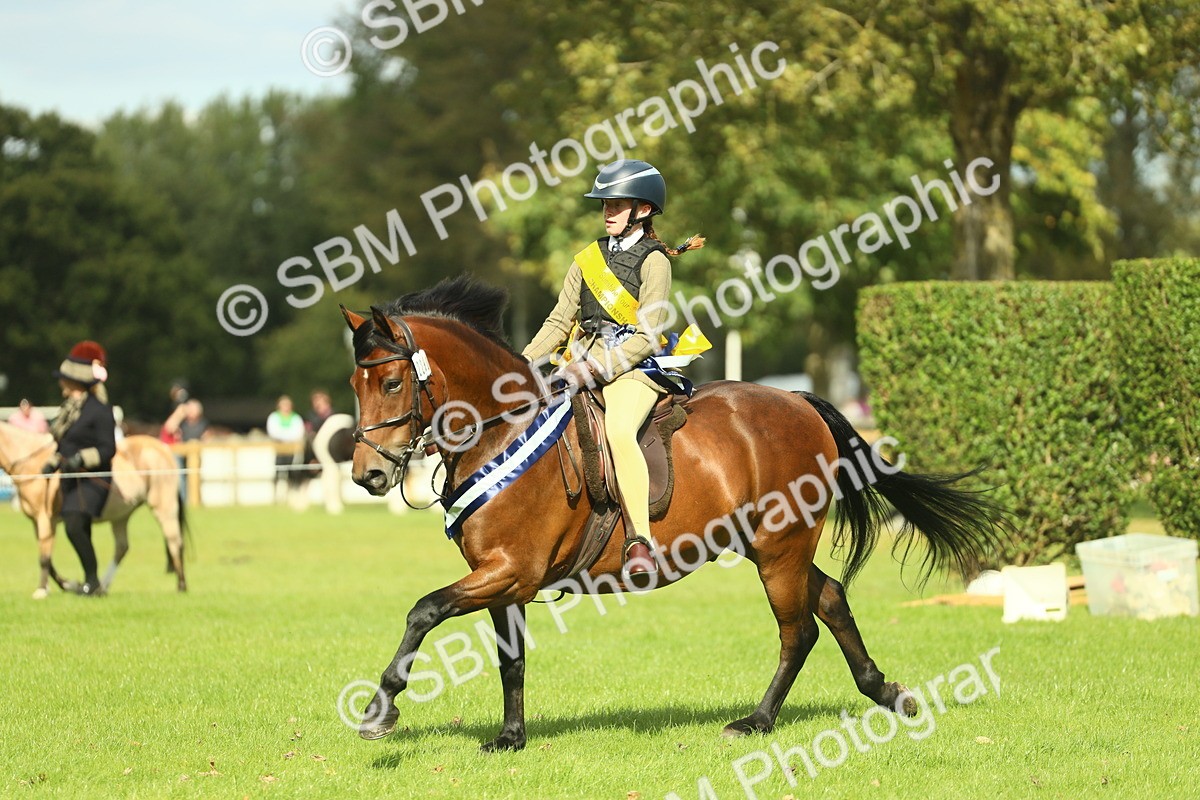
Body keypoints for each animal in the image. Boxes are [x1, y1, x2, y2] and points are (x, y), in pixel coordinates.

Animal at [0, 422, 187, 598]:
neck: (32, 464)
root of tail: (163, 449)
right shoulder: (36, 522)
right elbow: (49, 560)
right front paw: (66, 584)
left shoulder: (45, 520)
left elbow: (44, 558)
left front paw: (42, 590)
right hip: (121, 516)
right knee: (122, 548)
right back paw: (102, 587)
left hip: (164, 508)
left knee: (174, 541)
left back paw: (181, 586)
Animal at [342, 276, 1005, 751]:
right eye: (355, 384)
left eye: (394, 383)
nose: (367, 475)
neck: (500, 430)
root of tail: (798, 401)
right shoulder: (503, 576)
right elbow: (511, 659)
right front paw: (510, 738)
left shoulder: (510, 570)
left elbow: (423, 611)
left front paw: (380, 710)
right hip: (770, 544)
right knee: (832, 598)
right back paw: (886, 693)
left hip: (780, 546)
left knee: (798, 629)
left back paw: (757, 721)